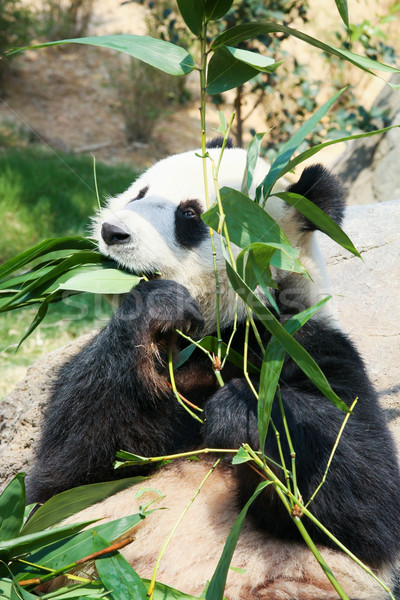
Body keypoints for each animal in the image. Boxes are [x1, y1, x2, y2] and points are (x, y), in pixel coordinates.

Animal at [25, 142, 400, 600]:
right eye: (139, 193)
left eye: (189, 214)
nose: (113, 232)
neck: (215, 336)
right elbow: (64, 480)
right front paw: (155, 305)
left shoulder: (310, 349)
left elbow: (369, 505)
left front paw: (241, 412)